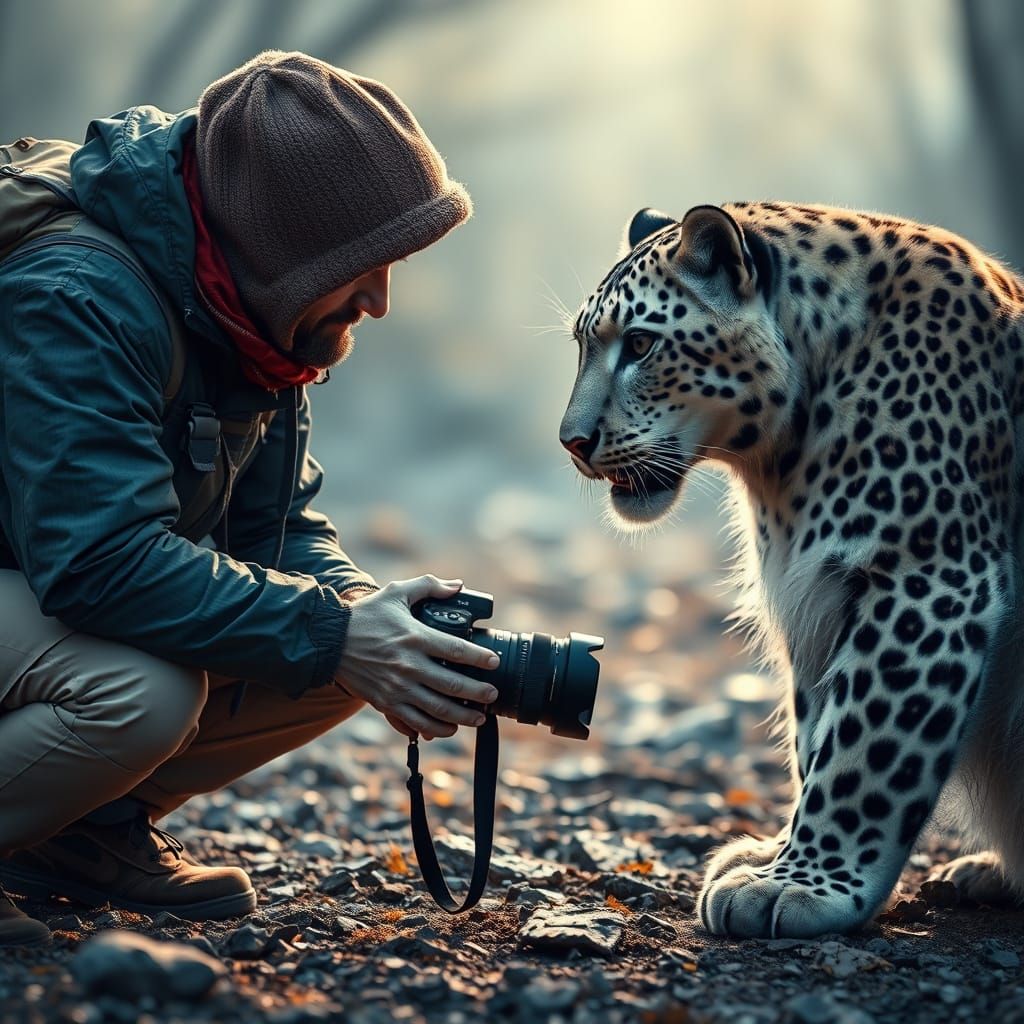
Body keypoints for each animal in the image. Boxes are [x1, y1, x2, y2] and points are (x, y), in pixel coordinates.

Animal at [559, 200, 1024, 938]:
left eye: (639, 345)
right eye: (581, 345)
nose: (571, 443)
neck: (782, 464)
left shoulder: (925, 577)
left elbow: (865, 749)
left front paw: (803, 885)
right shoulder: (818, 593)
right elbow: (818, 735)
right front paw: (777, 859)